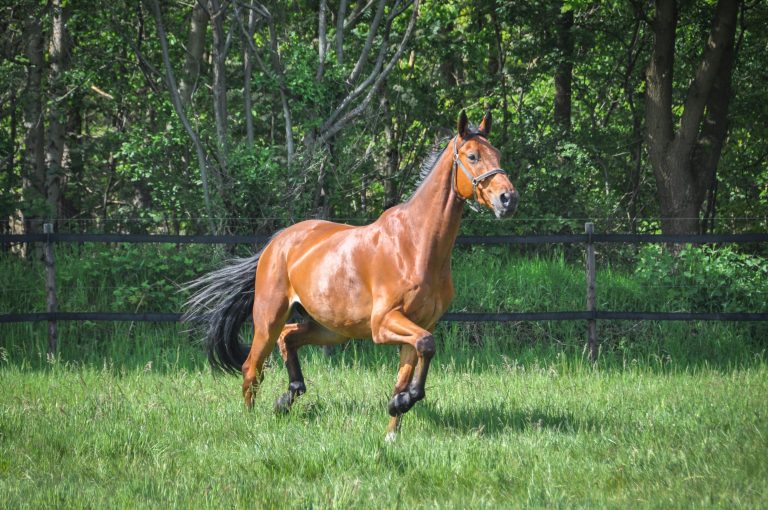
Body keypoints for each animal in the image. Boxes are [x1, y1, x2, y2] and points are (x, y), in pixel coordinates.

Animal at [184, 110, 518, 440]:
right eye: (473, 156)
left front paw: (394, 421)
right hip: (268, 318)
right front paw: (403, 402)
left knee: (287, 338)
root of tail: (276, 242)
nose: (509, 199)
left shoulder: (420, 324)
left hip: (330, 328)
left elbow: (411, 366)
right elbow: (426, 346)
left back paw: (288, 397)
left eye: (498, 154)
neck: (415, 245)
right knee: (252, 367)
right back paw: (252, 421)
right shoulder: (384, 323)